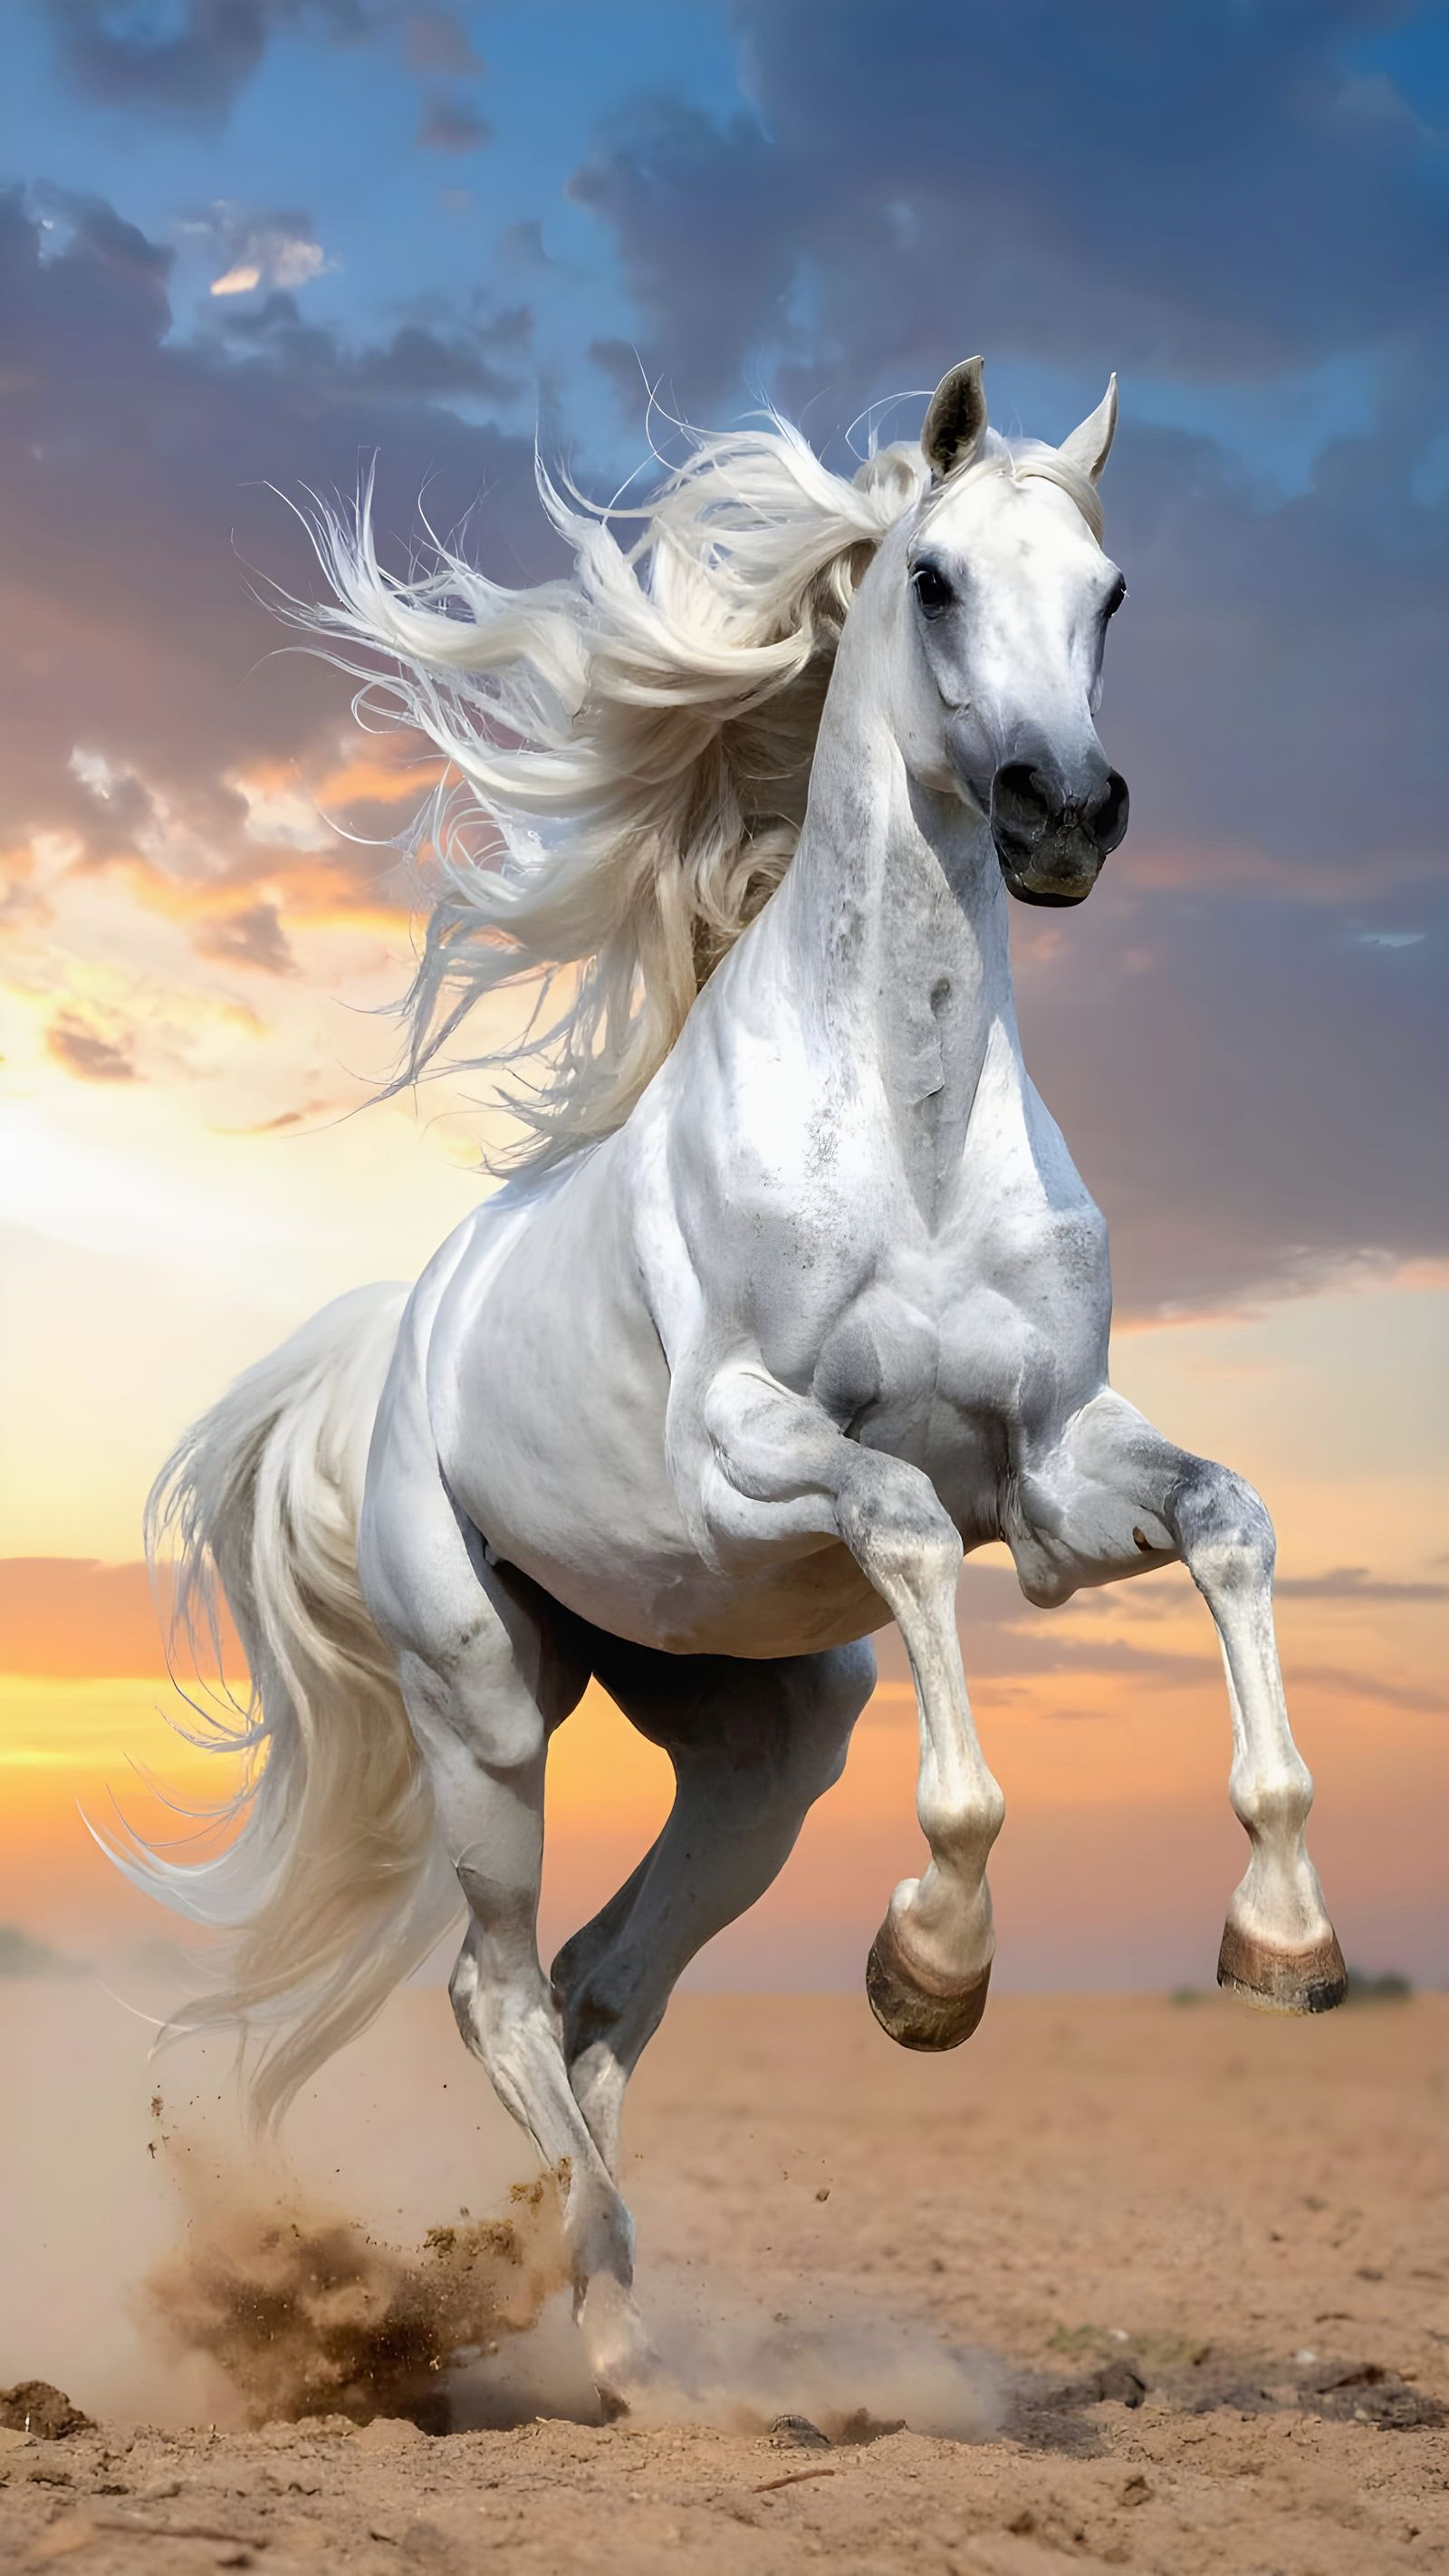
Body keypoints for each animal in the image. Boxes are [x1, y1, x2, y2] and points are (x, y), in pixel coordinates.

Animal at [123, 358, 1346, 2408]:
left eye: (1109, 593)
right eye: (931, 576)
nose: (1065, 813)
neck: (908, 1139)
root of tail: (401, 1338)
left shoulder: (1056, 1476)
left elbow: (1230, 1522)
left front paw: (1283, 1934)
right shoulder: (755, 1454)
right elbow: (909, 1538)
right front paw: (932, 1963)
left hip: (763, 1744)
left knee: (604, 1989)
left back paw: (624, 2337)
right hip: (486, 1704)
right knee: (499, 1986)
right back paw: (603, 2311)